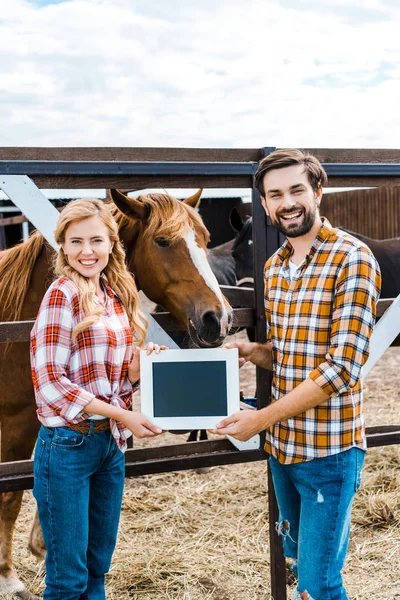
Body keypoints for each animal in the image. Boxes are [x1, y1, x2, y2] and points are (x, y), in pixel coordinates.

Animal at [0, 189, 233, 600]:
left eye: (205, 240)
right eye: (162, 241)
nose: (217, 320)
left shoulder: (32, 421)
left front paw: (36, 546)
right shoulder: (14, 424)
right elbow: (10, 495)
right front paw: (8, 578)